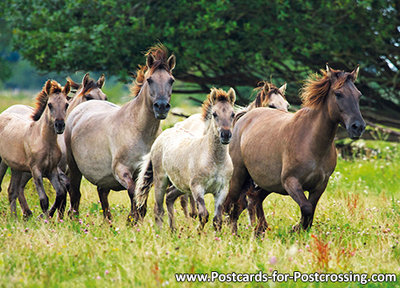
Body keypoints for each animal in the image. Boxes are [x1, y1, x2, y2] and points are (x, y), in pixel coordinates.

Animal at [0, 80, 70, 217]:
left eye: (66, 104)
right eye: (50, 105)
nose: (59, 125)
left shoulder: (52, 170)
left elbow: (59, 193)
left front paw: (46, 217)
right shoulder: (36, 170)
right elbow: (44, 199)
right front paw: (44, 219)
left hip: (16, 168)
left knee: (12, 190)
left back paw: (14, 218)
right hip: (2, 163)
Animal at [65, 44, 175, 220]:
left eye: (171, 80)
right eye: (149, 80)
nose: (162, 106)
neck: (139, 131)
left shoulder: (145, 174)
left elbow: (141, 201)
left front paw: (133, 220)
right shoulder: (121, 170)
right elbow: (133, 194)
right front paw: (131, 219)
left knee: (102, 195)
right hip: (74, 167)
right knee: (75, 194)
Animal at [137, 88, 238, 232]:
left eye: (232, 114)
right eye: (214, 114)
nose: (225, 135)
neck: (215, 160)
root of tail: (163, 134)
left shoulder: (222, 190)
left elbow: (217, 220)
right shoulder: (197, 188)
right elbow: (204, 214)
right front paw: (198, 232)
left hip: (180, 184)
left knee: (169, 197)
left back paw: (173, 230)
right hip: (161, 180)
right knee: (158, 208)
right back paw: (160, 232)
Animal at [225, 66, 366, 235]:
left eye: (358, 95)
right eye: (338, 94)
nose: (358, 127)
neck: (311, 142)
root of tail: (244, 118)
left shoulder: (319, 186)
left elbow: (310, 212)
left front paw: (298, 230)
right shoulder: (291, 182)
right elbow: (306, 207)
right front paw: (294, 229)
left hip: (267, 182)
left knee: (251, 200)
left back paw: (258, 231)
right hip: (238, 176)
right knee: (231, 205)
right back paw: (229, 233)